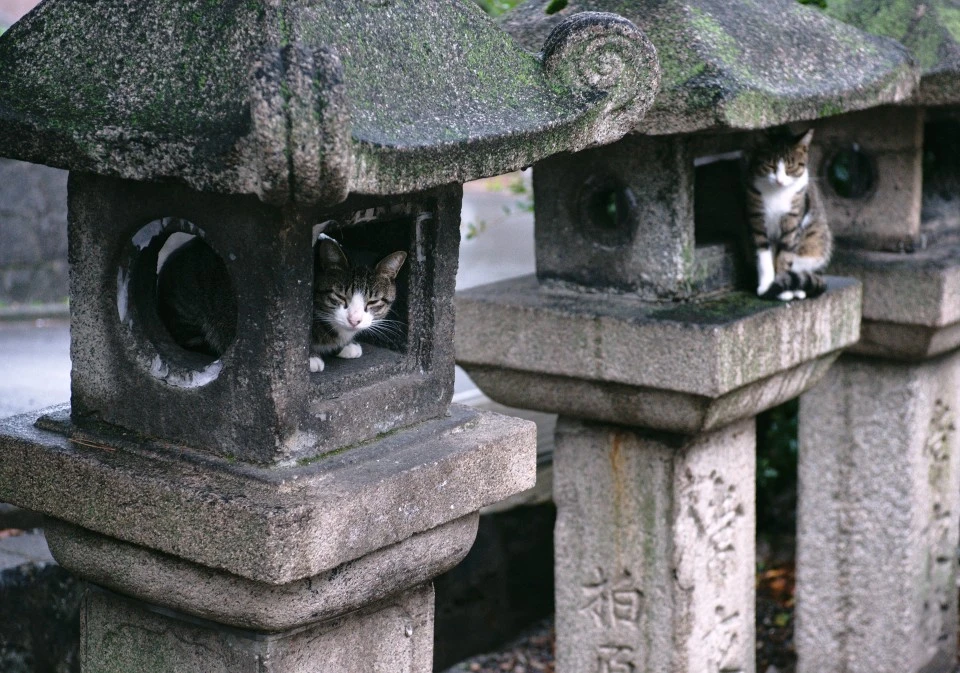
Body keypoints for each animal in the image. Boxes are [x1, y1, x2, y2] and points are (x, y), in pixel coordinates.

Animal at [752, 128, 832, 300]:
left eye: (791, 167)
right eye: (770, 165)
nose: (780, 181)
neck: (776, 193)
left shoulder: (793, 221)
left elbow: (785, 255)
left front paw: (783, 289)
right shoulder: (756, 217)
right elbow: (763, 255)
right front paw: (766, 286)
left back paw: (799, 289)